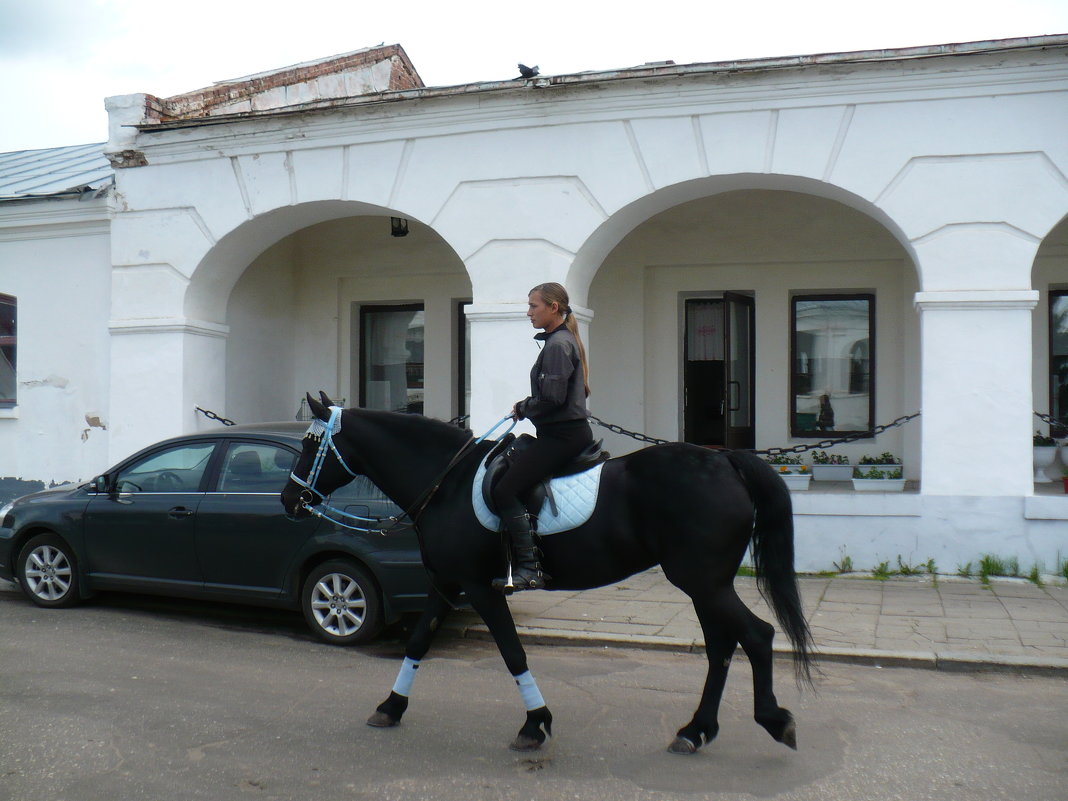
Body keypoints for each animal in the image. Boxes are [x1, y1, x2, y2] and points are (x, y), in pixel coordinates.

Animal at [279, 395, 811, 760]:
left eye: (310, 443)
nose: (289, 499)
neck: (446, 483)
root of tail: (723, 458)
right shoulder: (446, 584)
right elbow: (417, 643)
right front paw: (390, 707)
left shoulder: (481, 588)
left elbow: (512, 652)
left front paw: (535, 725)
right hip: (705, 585)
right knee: (723, 647)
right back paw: (695, 730)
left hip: (703, 582)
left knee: (757, 636)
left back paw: (773, 720)